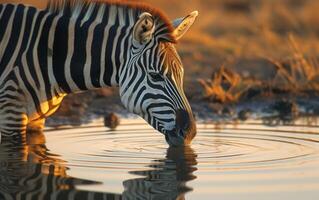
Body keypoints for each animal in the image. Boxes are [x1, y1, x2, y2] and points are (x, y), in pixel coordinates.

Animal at [0, 0, 199, 146]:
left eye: (181, 75)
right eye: (155, 76)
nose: (189, 133)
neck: (47, 55)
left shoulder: (36, 121)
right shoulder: (10, 114)